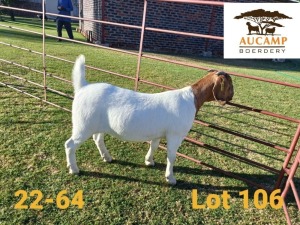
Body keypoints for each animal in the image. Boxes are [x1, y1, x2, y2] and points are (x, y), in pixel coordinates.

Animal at [65, 55, 234, 185]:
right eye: (230, 85)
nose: (232, 96)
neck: (192, 98)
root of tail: (83, 87)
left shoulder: (158, 133)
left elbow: (154, 146)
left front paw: (149, 161)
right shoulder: (175, 135)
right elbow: (171, 156)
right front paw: (171, 178)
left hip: (98, 125)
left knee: (97, 138)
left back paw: (107, 157)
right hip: (83, 125)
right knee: (70, 144)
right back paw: (74, 169)